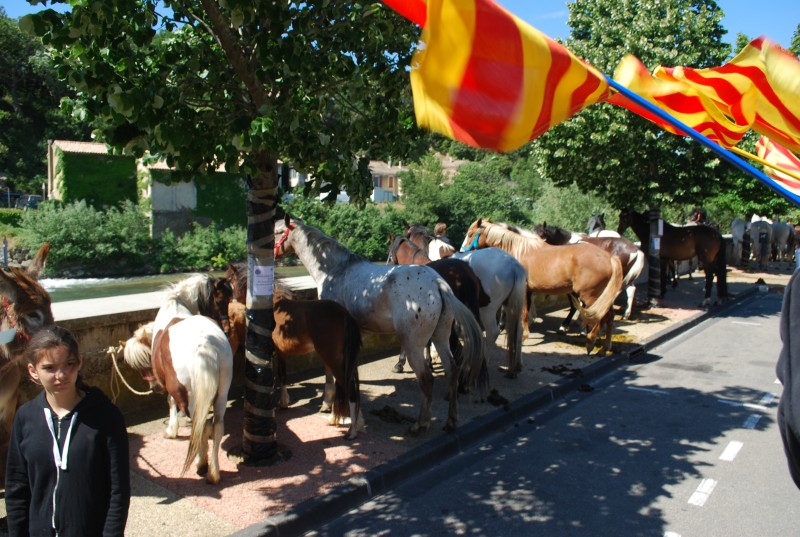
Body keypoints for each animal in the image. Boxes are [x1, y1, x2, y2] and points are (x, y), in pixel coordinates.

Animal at [122, 274, 233, 484]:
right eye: (220, 300)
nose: (154, 387)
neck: (176, 304)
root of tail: (206, 345)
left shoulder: (170, 387)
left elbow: (170, 402)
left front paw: (171, 430)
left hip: (188, 396)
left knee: (201, 427)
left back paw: (201, 464)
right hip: (222, 392)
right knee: (216, 426)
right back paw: (214, 473)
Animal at [223, 262, 364, 438]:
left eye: (228, 281)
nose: (229, 308)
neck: (274, 307)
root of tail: (344, 314)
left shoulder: (272, 351)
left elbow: (275, 376)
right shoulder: (281, 352)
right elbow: (283, 375)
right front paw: (283, 403)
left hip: (333, 359)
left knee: (348, 389)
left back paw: (352, 430)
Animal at [276, 214, 488, 432]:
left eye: (276, 231)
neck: (335, 270)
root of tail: (438, 284)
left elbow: (329, 371)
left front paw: (327, 404)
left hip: (414, 344)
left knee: (426, 379)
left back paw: (420, 423)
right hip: (440, 336)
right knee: (452, 370)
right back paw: (451, 420)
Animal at [456, 218, 624, 356]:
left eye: (470, 234)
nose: (462, 251)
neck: (519, 250)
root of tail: (609, 258)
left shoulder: (523, 290)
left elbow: (523, 311)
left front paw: (523, 335)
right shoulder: (528, 291)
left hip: (590, 296)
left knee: (602, 315)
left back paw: (590, 341)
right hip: (600, 295)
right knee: (609, 316)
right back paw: (604, 348)